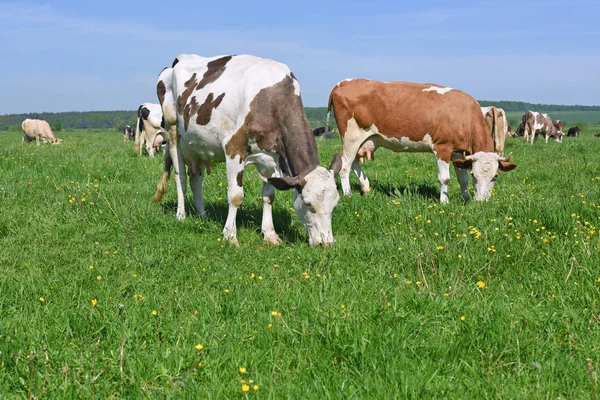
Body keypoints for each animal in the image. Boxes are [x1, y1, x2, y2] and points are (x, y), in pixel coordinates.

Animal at [154, 54, 342, 245]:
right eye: (308, 203)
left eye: (335, 204)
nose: (327, 243)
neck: (272, 99)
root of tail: (179, 60)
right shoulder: (234, 147)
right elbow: (236, 196)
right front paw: (230, 236)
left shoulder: (271, 159)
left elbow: (269, 196)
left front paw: (270, 234)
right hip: (173, 132)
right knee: (181, 178)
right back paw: (181, 215)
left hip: (198, 146)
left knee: (195, 178)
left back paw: (203, 215)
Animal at [326, 79, 516, 203]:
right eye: (474, 174)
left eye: (495, 176)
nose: (481, 201)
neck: (463, 114)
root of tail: (343, 82)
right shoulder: (442, 148)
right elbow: (445, 178)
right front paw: (444, 202)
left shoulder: (457, 153)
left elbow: (462, 179)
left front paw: (466, 197)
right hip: (351, 138)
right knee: (345, 165)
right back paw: (348, 194)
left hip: (366, 139)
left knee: (355, 162)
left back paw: (365, 187)